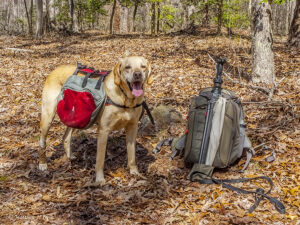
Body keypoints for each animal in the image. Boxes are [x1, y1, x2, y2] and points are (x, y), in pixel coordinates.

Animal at [39, 55, 152, 183]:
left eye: (143, 66)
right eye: (127, 67)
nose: (137, 74)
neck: (125, 99)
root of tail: (55, 69)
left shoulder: (132, 128)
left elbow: (132, 155)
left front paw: (135, 173)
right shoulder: (104, 131)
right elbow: (100, 159)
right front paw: (100, 179)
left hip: (77, 118)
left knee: (66, 137)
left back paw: (70, 156)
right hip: (48, 116)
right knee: (42, 142)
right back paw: (42, 163)